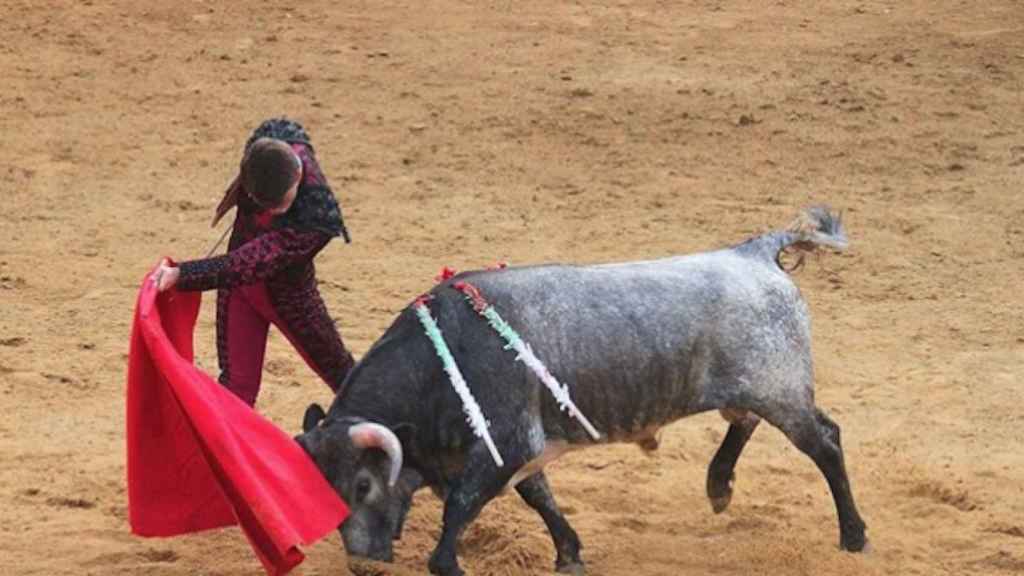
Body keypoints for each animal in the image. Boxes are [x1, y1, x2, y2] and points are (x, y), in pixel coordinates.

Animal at [294, 206, 864, 573]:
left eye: (362, 485)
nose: (361, 561)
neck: (444, 359)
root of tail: (753, 252)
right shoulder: (525, 447)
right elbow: (538, 497)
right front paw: (569, 553)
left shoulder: (506, 444)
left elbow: (461, 507)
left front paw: (447, 563)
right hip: (749, 389)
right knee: (745, 423)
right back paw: (718, 486)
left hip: (781, 391)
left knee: (825, 442)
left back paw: (853, 535)